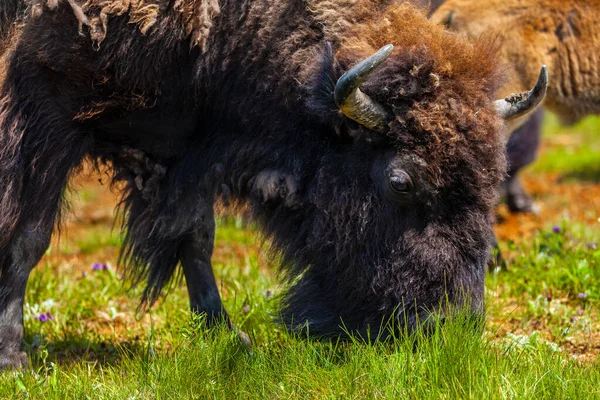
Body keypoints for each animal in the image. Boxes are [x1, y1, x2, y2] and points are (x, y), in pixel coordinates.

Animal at [0, 0, 544, 368]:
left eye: (493, 178)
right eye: (400, 181)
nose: (450, 327)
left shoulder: (188, 149)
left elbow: (196, 239)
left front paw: (226, 336)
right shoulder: (46, 112)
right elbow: (29, 237)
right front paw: (14, 358)